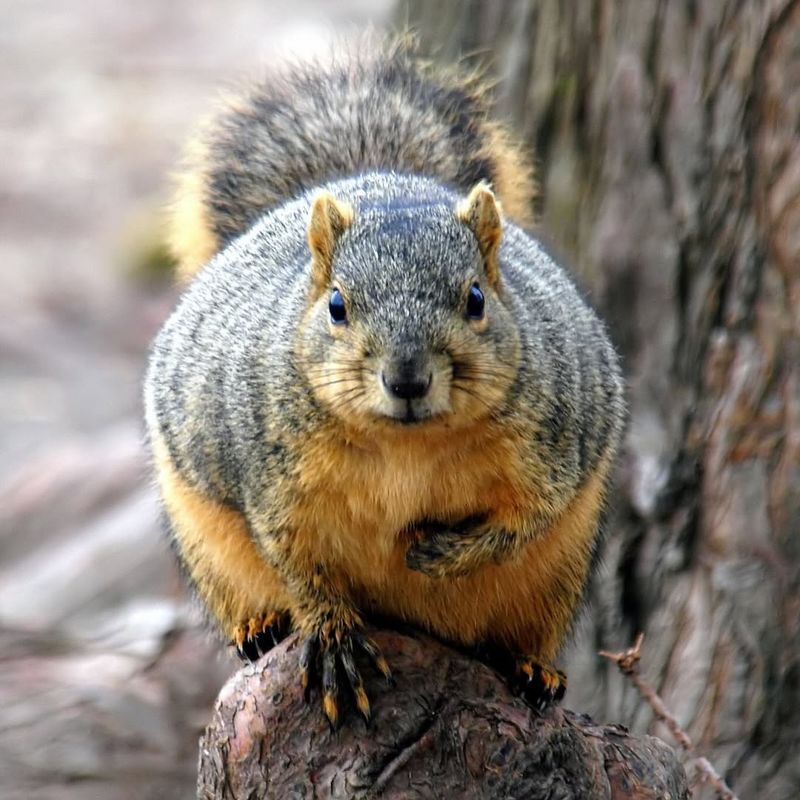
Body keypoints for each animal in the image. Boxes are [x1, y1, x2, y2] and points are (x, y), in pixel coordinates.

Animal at [144, 39, 626, 728]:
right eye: (337, 306)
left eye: (476, 298)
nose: (406, 378)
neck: (407, 444)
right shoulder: (272, 484)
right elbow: (300, 565)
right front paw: (334, 638)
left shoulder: (555, 445)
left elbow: (527, 519)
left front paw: (438, 553)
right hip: (205, 543)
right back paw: (260, 628)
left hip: (560, 573)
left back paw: (532, 669)